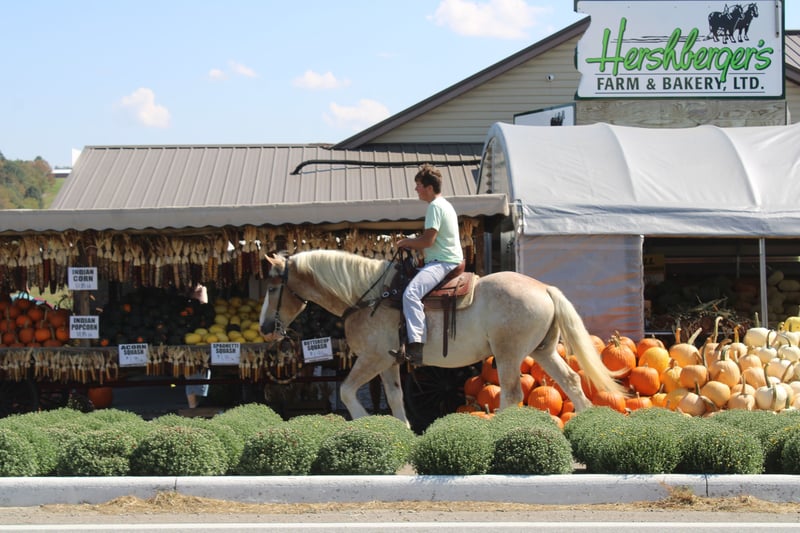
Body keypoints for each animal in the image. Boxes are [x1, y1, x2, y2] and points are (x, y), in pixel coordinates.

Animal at [258, 249, 625, 427]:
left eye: (273, 287)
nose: (263, 328)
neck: (368, 297)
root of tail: (544, 288)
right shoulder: (388, 362)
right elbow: (395, 398)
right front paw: (402, 432)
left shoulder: (372, 359)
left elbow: (348, 391)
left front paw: (363, 424)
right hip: (544, 350)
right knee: (572, 380)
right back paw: (585, 425)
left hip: (509, 354)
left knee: (511, 393)